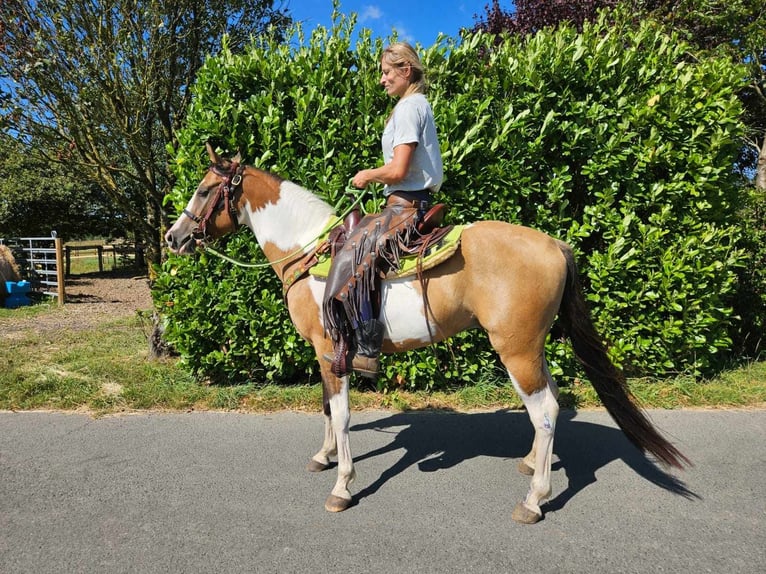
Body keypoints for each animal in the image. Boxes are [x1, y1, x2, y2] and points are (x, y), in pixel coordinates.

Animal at [164, 145, 688, 528]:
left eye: (205, 189)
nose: (173, 238)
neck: (309, 252)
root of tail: (555, 244)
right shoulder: (323, 353)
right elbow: (328, 409)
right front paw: (324, 456)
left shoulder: (332, 349)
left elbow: (342, 412)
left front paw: (342, 485)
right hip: (530, 349)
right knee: (551, 402)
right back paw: (530, 463)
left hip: (515, 349)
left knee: (545, 410)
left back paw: (534, 499)